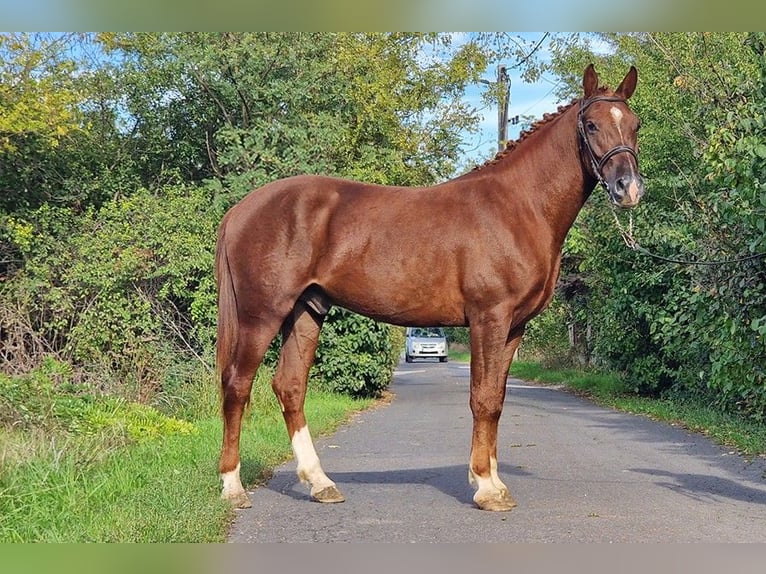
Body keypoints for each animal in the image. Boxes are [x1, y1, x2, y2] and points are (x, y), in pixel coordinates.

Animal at [216, 66, 648, 512]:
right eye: (592, 124)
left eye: (635, 125)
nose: (628, 188)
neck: (516, 207)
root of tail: (241, 209)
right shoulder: (488, 318)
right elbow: (482, 398)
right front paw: (486, 487)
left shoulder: (514, 327)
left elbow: (498, 399)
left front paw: (494, 482)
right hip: (262, 314)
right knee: (237, 384)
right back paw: (233, 486)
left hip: (306, 311)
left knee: (289, 386)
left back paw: (320, 483)